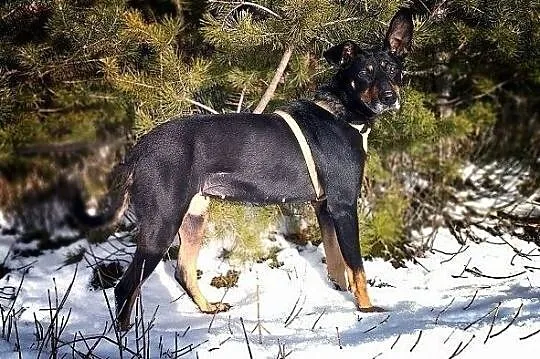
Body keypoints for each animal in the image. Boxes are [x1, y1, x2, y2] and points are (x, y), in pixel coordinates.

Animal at [73, 8, 414, 330]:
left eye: (393, 70)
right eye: (364, 74)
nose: (390, 98)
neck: (343, 114)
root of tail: (138, 150)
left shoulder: (324, 207)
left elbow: (336, 264)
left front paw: (342, 298)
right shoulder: (344, 206)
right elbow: (356, 266)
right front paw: (367, 309)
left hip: (194, 215)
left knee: (183, 271)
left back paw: (209, 308)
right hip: (162, 224)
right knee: (125, 287)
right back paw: (127, 338)